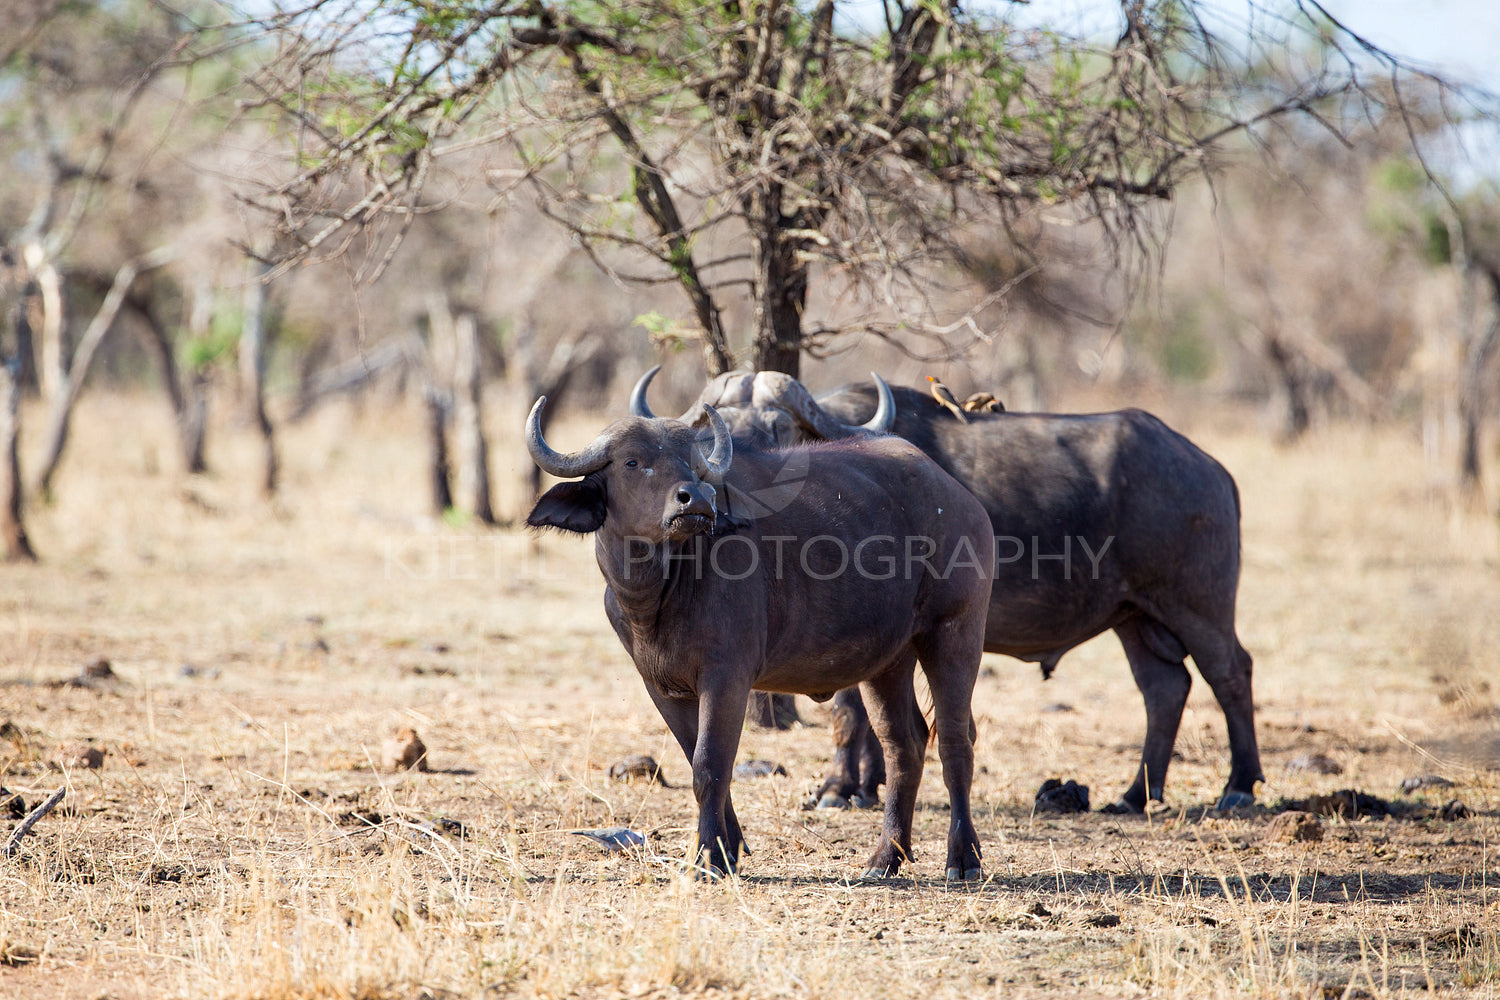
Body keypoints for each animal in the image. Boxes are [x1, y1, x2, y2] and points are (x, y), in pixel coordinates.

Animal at [525, 395, 996, 881]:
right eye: (633, 462)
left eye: (692, 462)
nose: (696, 500)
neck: (661, 591)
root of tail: (961, 499)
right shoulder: (661, 687)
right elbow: (698, 759)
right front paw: (727, 849)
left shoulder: (726, 677)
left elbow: (709, 766)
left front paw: (708, 857)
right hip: (889, 661)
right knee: (904, 743)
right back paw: (885, 858)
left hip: (954, 634)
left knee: (956, 741)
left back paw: (963, 859)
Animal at [633, 367, 1266, 815]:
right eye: (713, 428)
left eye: (775, 428)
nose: (724, 475)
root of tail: (1210, 468)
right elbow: (861, 713)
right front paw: (863, 784)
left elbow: (849, 710)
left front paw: (842, 787)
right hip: (1133, 615)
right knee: (1165, 688)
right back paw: (1136, 795)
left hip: (1197, 605)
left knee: (1230, 672)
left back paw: (1238, 787)